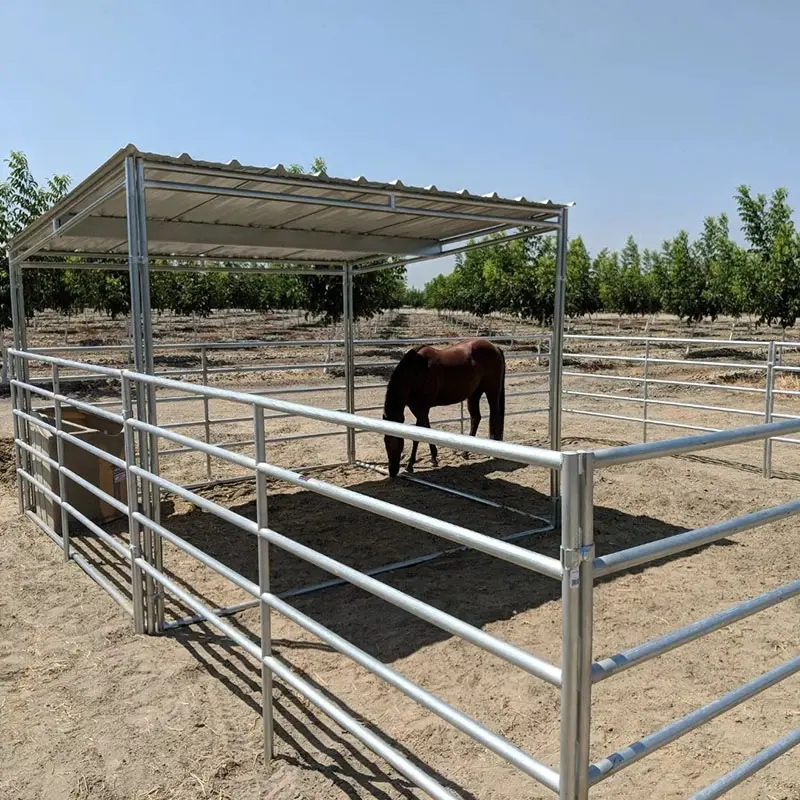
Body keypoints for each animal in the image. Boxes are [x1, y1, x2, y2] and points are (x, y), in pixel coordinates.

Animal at [382, 338, 506, 476]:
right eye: (385, 441)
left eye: (398, 442)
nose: (392, 471)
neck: (417, 371)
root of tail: (495, 347)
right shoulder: (418, 409)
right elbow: (427, 429)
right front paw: (434, 458)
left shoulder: (422, 409)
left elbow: (417, 436)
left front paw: (410, 465)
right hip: (474, 394)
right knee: (476, 418)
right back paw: (465, 453)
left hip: (492, 391)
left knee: (495, 415)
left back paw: (493, 453)